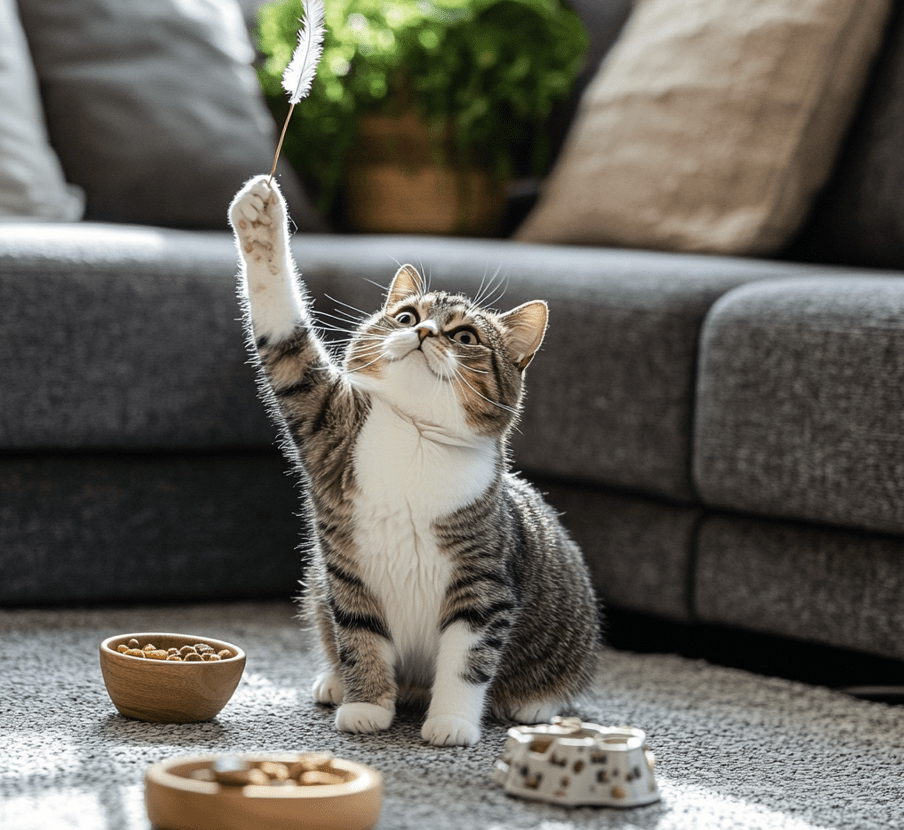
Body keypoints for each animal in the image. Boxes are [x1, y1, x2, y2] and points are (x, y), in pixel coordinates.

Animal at [230, 176, 604, 748]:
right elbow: (360, 638)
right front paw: (366, 705)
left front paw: (451, 722)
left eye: (465, 336)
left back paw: (535, 705)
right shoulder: (327, 433)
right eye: (406, 316)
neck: (415, 435)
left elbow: (468, 658)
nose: (424, 331)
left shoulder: (483, 582)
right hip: (317, 584)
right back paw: (336, 682)